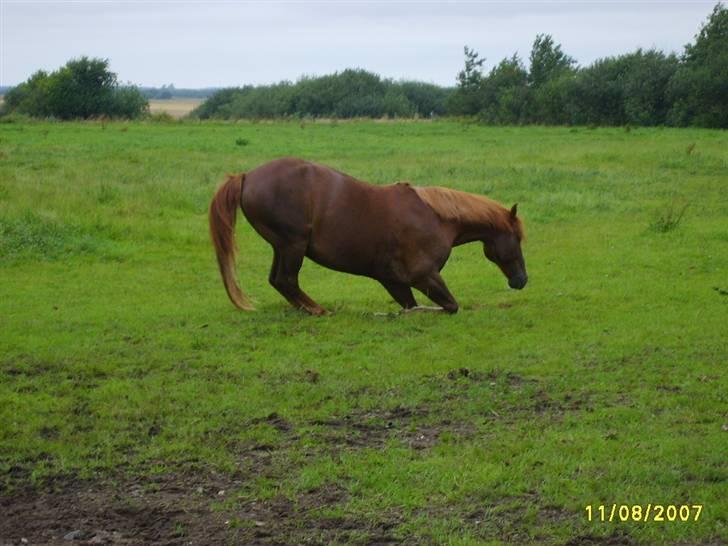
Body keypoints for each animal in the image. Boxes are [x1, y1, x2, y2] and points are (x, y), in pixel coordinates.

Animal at [208, 156, 528, 314]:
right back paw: (318, 310)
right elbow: (449, 307)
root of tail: (246, 176)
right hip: (292, 245)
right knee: (286, 280)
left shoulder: (393, 281)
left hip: (282, 246)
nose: (522, 280)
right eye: (518, 239)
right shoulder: (426, 277)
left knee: (278, 281)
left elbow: (411, 305)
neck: (436, 217)